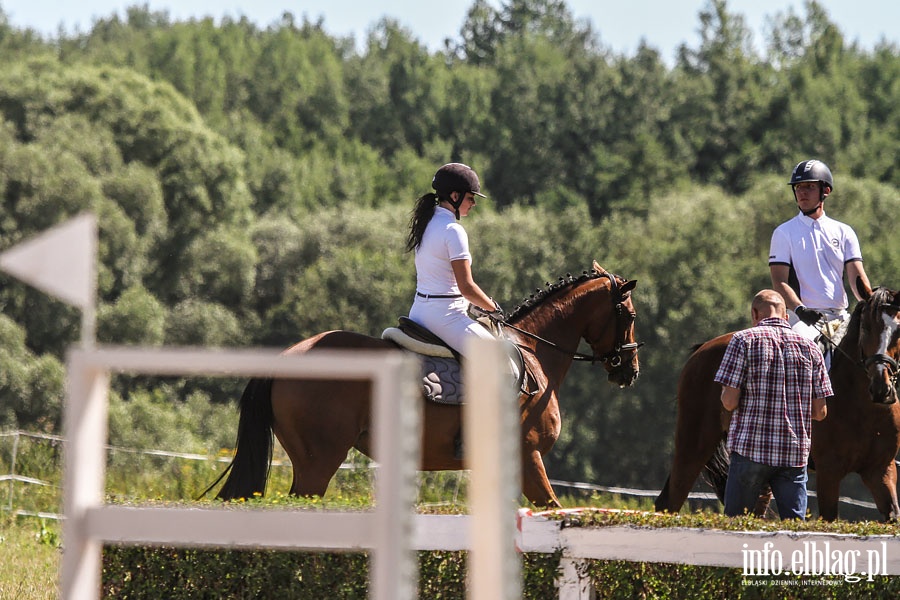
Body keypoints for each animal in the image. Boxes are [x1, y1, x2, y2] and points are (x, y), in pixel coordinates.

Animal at [213, 262, 640, 506]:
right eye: (630, 315)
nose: (629, 371)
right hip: (319, 461)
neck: (534, 351)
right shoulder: (528, 456)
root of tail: (284, 359)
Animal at [652, 282, 900, 520]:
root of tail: (703, 348)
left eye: (898, 332)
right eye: (866, 328)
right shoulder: (829, 472)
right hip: (694, 446)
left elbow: (892, 514)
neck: (864, 407)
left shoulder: (881, 470)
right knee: (670, 500)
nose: (881, 388)